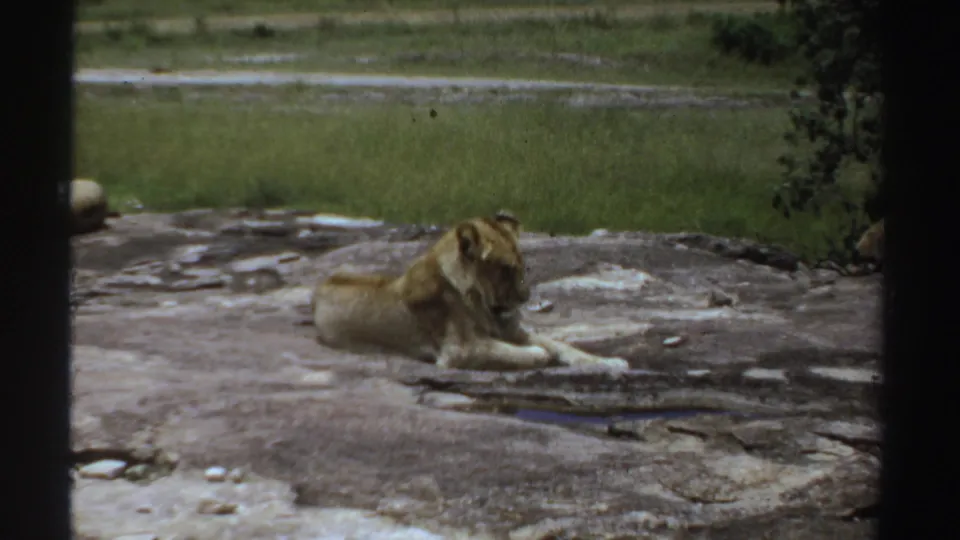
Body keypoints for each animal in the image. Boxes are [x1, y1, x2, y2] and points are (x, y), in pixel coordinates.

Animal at [310, 211, 630, 372]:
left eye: (522, 266)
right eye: (505, 269)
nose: (526, 298)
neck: (481, 300)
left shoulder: (511, 330)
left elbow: (562, 345)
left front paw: (609, 362)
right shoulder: (460, 351)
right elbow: (515, 352)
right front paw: (539, 354)